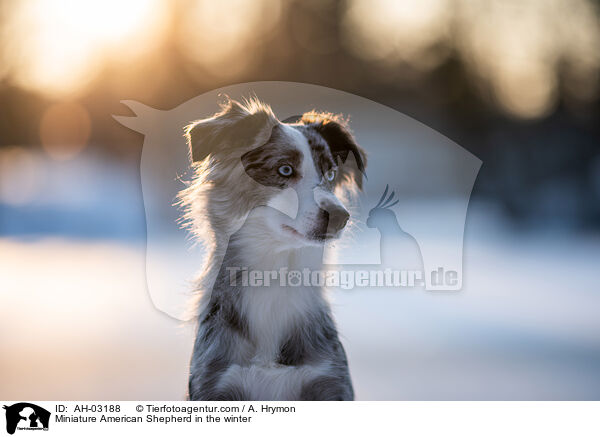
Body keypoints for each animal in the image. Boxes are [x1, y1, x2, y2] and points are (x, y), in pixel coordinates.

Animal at [178, 97, 366, 400]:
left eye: (330, 173)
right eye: (284, 170)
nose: (340, 216)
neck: (276, 276)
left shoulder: (329, 382)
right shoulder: (215, 384)